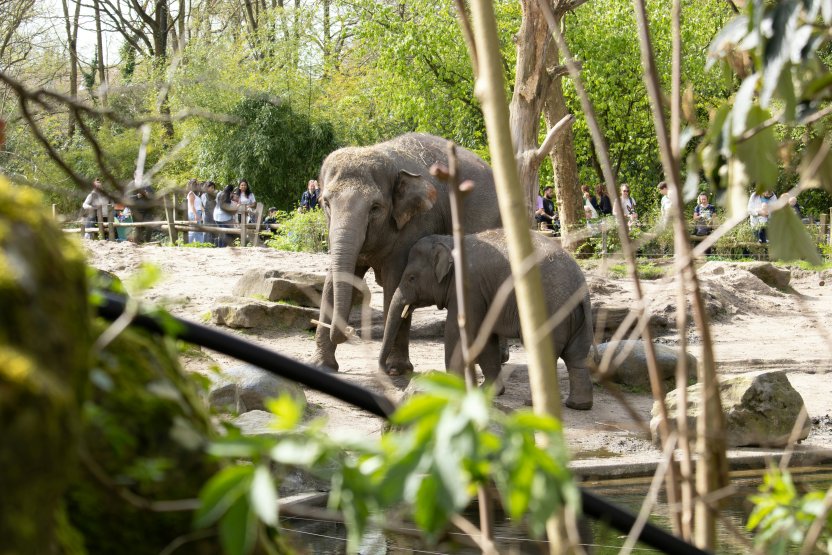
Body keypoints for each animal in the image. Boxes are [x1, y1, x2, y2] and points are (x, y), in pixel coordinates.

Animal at [310, 133, 500, 376]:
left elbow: (394, 284)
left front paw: (395, 370)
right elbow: (333, 282)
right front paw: (321, 366)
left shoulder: (416, 224)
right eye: (326, 203)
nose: (350, 332)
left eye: (375, 207)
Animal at [380, 228, 596, 410]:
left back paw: (533, 404)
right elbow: (485, 337)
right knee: (577, 357)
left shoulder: (470, 289)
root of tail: (580, 284)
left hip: (551, 313)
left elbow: (457, 331)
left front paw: (450, 388)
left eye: (411, 278)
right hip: (578, 318)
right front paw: (489, 392)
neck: (450, 241)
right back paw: (578, 405)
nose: (390, 372)